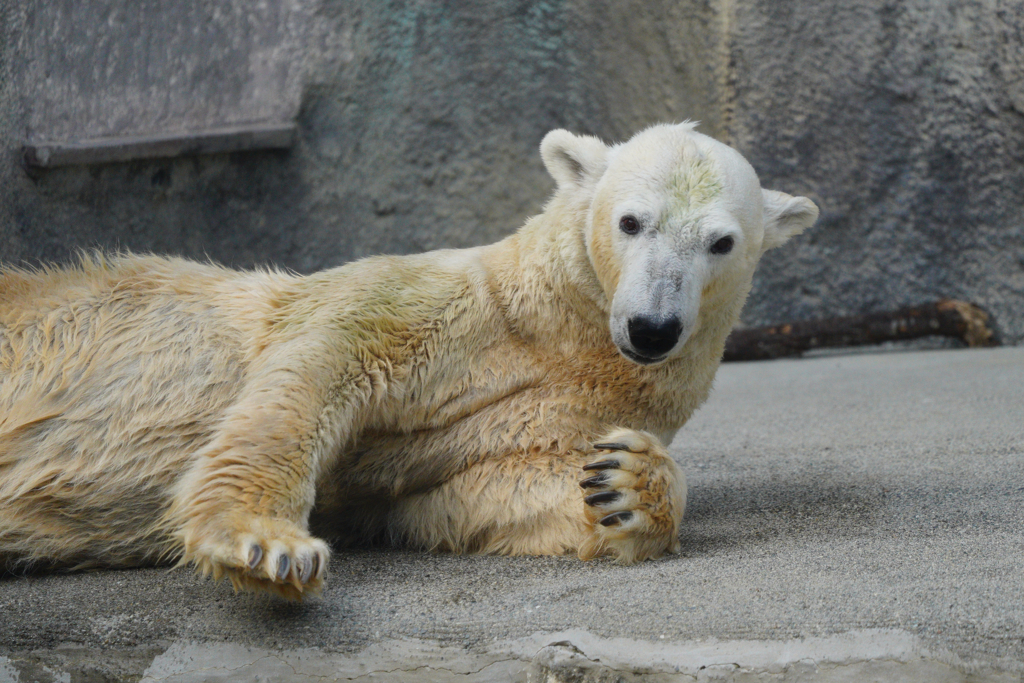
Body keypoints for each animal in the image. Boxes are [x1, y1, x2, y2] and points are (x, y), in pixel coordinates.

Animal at [0, 122, 815, 598]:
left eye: (721, 242)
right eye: (631, 221)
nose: (651, 328)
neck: (546, 323)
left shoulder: (574, 397)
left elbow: (486, 492)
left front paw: (625, 482)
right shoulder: (419, 302)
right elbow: (314, 371)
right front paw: (266, 545)